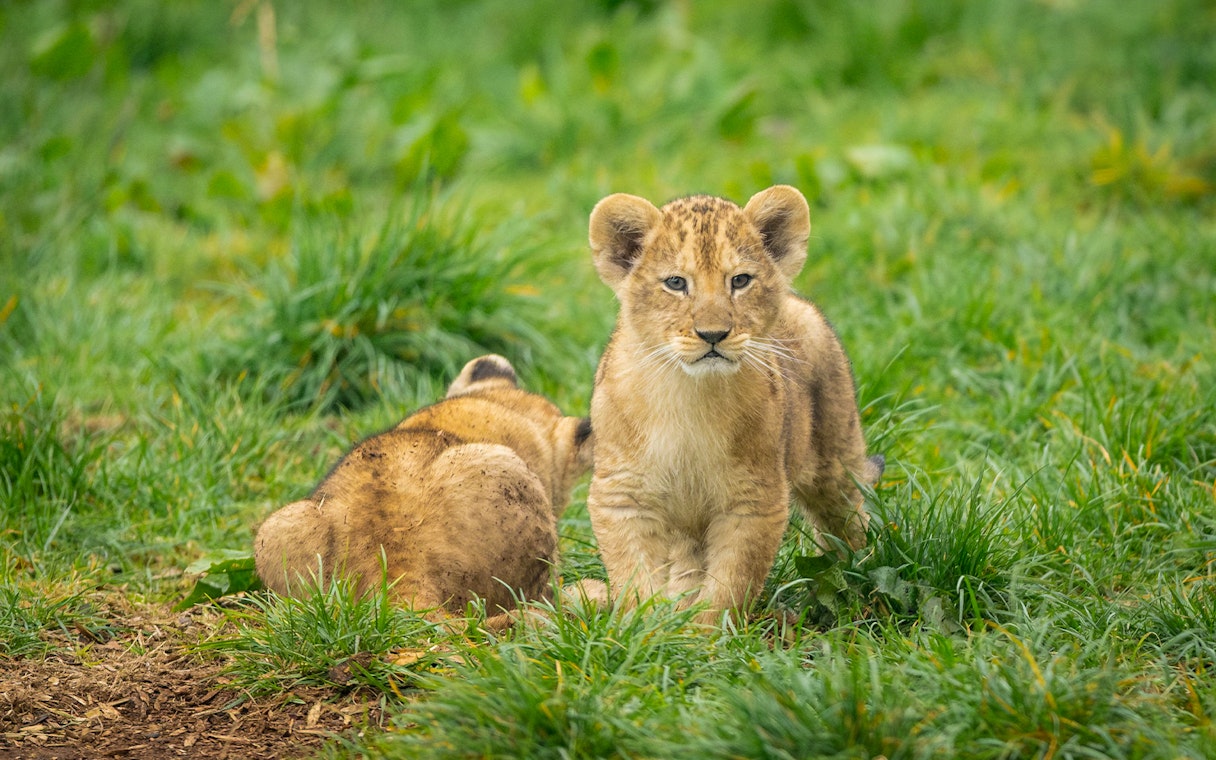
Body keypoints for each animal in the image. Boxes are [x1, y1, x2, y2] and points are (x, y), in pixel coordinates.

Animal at [585, 185, 884, 624]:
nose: (713, 334)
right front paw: (652, 630)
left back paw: (856, 580)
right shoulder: (623, 494)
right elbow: (635, 577)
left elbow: (731, 583)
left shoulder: (753, 499)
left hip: (835, 460)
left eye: (740, 280)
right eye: (676, 282)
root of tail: (801, 303)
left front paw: (704, 635)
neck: (689, 396)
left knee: (848, 518)